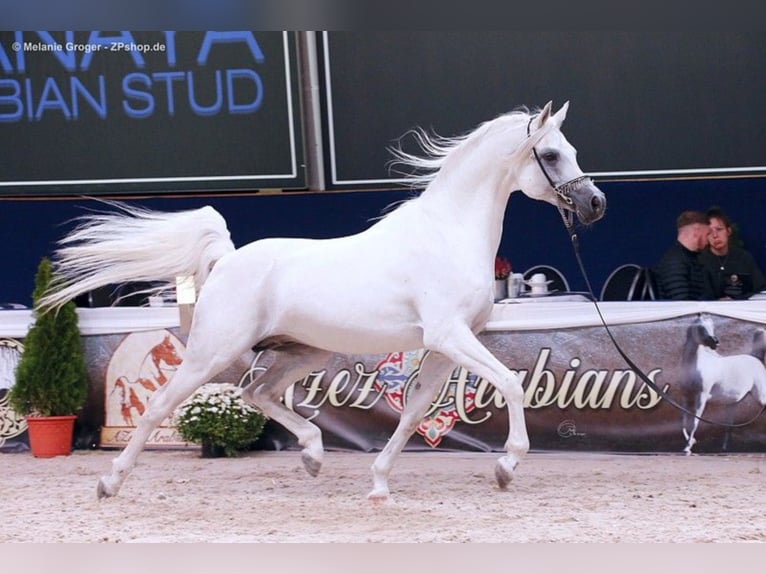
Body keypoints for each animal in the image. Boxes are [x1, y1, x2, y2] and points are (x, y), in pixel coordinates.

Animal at [42, 101, 608, 502]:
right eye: (551, 155)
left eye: (572, 150)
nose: (596, 203)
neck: (447, 233)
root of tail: (227, 259)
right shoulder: (450, 335)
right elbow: (510, 383)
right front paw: (507, 465)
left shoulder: (446, 346)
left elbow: (414, 413)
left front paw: (378, 483)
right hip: (211, 353)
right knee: (163, 405)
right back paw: (110, 483)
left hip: (302, 352)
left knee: (257, 393)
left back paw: (313, 455)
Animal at [680, 316, 766, 454]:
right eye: (700, 328)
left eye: (712, 326)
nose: (715, 342)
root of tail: (756, 358)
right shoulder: (685, 397)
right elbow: (683, 423)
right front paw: (691, 442)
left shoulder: (701, 397)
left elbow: (694, 422)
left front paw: (688, 447)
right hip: (731, 404)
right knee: (729, 426)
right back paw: (724, 448)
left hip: (760, 397)